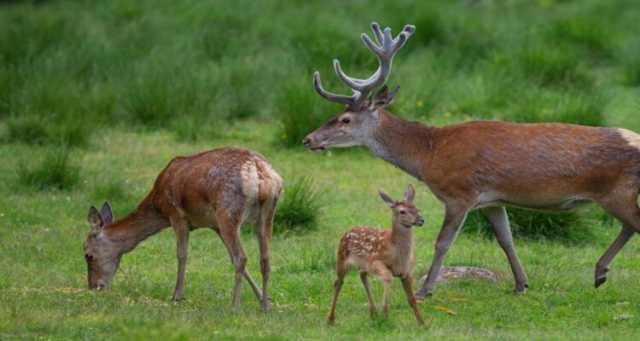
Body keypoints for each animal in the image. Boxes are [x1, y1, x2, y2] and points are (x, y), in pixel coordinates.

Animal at [81, 147, 282, 310]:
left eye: (88, 255)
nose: (94, 286)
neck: (158, 205)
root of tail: (260, 174)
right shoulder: (214, 225)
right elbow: (230, 259)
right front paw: (264, 299)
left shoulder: (176, 215)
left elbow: (182, 254)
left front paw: (176, 296)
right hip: (266, 215)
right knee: (264, 259)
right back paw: (265, 308)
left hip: (228, 211)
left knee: (242, 257)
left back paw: (234, 306)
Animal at [302, 21, 640, 298]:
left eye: (344, 119)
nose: (308, 139)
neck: (429, 153)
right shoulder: (492, 200)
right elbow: (506, 239)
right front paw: (521, 284)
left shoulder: (459, 193)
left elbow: (442, 242)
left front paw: (425, 290)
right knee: (629, 226)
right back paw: (599, 273)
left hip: (617, 192)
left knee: (633, 224)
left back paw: (600, 272)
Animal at [330, 183, 424, 324]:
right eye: (402, 211)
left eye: (417, 208)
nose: (421, 220)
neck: (398, 255)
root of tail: (347, 231)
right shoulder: (375, 260)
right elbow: (387, 276)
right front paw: (385, 312)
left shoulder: (406, 272)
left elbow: (412, 299)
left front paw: (422, 323)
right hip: (341, 257)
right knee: (338, 282)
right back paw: (330, 319)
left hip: (362, 264)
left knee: (362, 275)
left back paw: (373, 313)